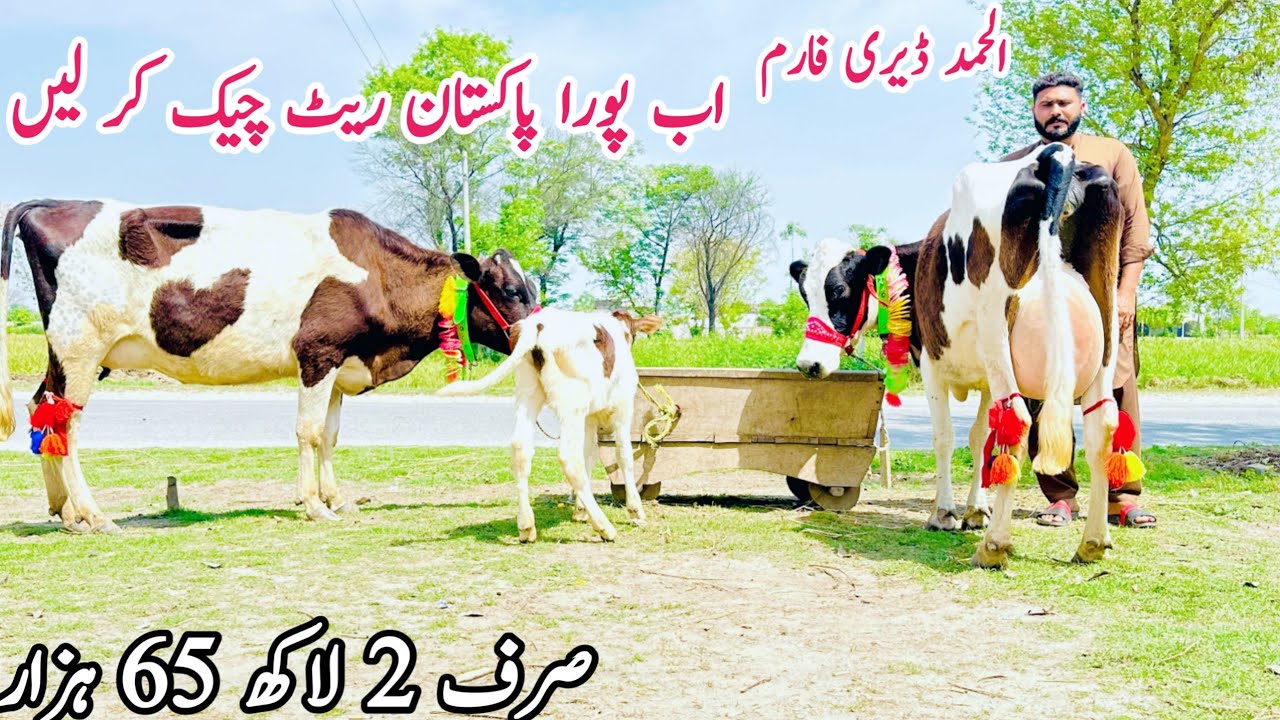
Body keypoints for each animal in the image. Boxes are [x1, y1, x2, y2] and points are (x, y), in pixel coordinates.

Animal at [0, 198, 540, 534]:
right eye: (511, 290)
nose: (540, 331)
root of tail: (52, 203)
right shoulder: (317, 354)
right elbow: (308, 431)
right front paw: (314, 506)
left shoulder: (342, 363)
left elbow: (330, 435)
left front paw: (335, 497)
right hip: (80, 347)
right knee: (66, 425)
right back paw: (95, 516)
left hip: (71, 355)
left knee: (41, 406)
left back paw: (66, 512)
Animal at [435, 307, 663, 543]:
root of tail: (538, 324)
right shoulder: (623, 407)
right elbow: (623, 455)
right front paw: (635, 510)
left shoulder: (589, 418)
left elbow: (590, 455)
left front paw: (580, 510)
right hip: (572, 404)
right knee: (569, 457)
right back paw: (604, 527)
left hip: (528, 393)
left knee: (520, 447)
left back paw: (526, 526)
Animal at [790, 143, 1126, 568]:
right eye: (805, 293)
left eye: (839, 292)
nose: (809, 364)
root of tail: (1054, 155)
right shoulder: (986, 378)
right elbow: (980, 438)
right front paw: (975, 510)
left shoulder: (933, 365)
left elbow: (946, 437)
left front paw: (945, 512)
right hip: (1105, 330)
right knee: (1103, 425)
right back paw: (1093, 542)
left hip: (999, 329)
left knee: (1019, 421)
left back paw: (995, 545)